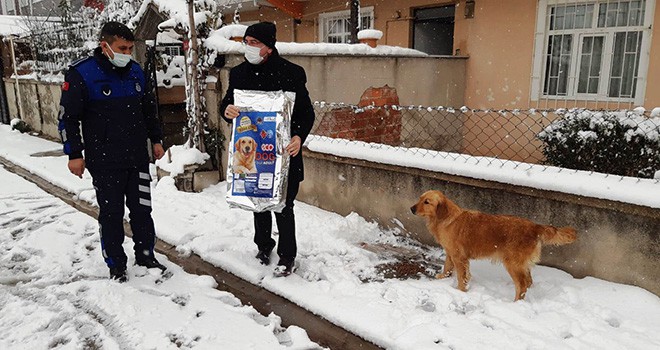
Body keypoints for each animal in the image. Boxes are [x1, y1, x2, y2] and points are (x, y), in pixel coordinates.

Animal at [410, 190, 576, 300]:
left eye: (427, 202)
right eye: (420, 198)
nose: (411, 208)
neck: (445, 218)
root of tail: (535, 226)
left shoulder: (459, 256)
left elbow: (462, 277)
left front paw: (460, 291)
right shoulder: (451, 253)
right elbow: (447, 267)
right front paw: (443, 277)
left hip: (512, 263)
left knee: (522, 285)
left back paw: (516, 303)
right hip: (522, 264)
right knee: (528, 281)